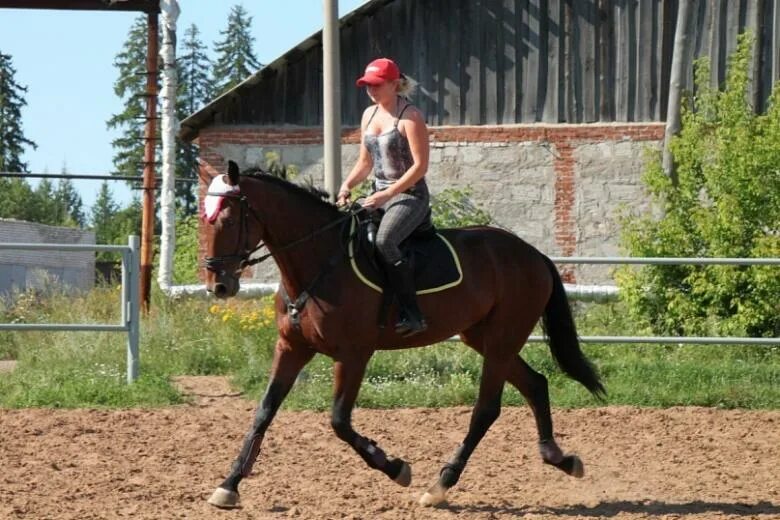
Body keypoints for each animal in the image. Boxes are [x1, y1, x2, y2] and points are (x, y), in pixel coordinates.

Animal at [200, 161, 604, 508]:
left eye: (229, 218)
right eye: (203, 220)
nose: (218, 285)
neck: (318, 263)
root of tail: (534, 254)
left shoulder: (354, 355)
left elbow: (339, 421)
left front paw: (395, 467)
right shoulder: (291, 348)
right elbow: (264, 412)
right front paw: (229, 485)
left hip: (502, 340)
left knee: (486, 408)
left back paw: (440, 485)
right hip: (484, 338)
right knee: (535, 384)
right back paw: (559, 457)